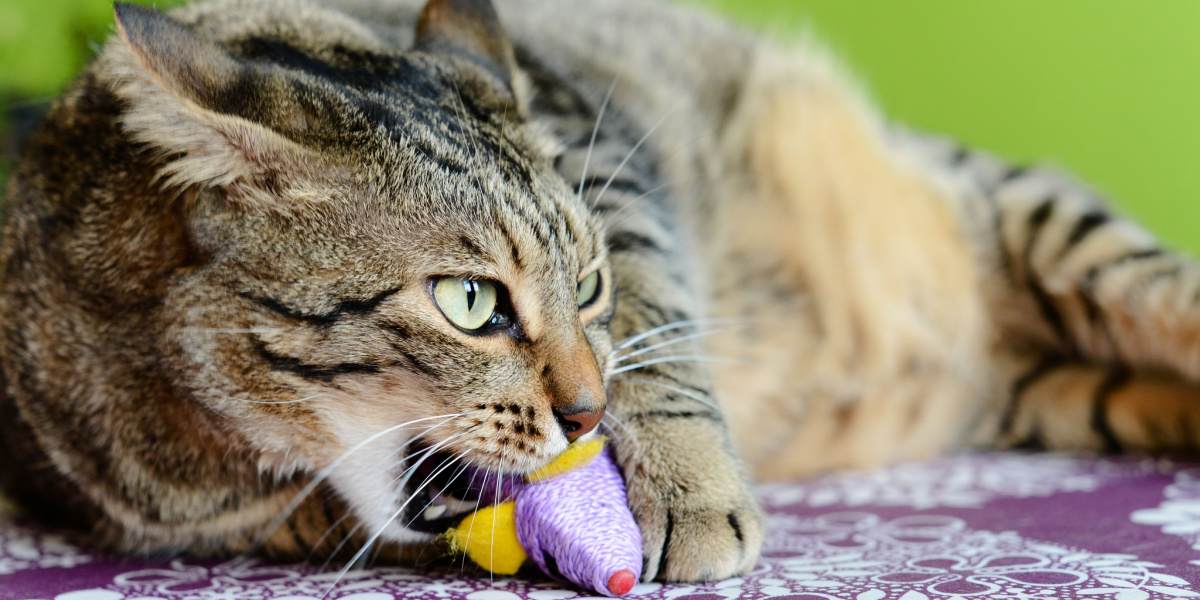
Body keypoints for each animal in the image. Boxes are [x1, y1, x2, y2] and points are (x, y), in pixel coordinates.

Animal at [2, 0, 1200, 585]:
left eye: (587, 287)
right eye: (470, 302)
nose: (582, 414)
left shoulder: (610, 162)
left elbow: (660, 341)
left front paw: (686, 487)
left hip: (1046, 223)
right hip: (1054, 391)